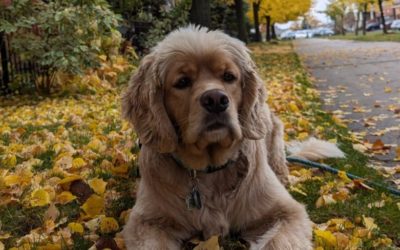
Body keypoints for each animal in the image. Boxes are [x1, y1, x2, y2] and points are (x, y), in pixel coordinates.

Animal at [121, 26, 316, 249]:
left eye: (229, 77)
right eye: (182, 82)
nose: (215, 100)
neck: (209, 170)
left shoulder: (286, 212)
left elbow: (278, 240)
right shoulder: (146, 221)